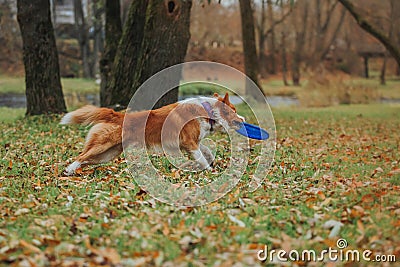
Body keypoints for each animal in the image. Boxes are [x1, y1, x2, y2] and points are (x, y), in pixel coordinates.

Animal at [60, 92, 244, 176]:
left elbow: (206, 151)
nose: (243, 118)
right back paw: (70, 169)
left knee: (86, 159)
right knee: (81, 156)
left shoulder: (192, 143)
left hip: (108, 154)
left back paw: (73, 171)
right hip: (102, 146)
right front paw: (209, 170)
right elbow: (201, 157)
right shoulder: (189, 143)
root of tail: (118, 114)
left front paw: (211, 162)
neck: (208, 111)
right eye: (234, 110)